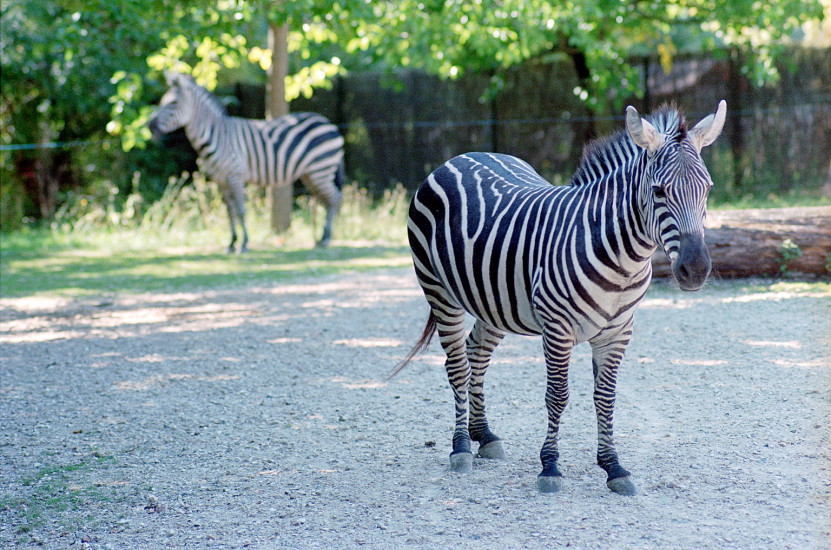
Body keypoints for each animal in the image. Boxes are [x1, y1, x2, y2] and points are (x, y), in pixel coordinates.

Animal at [149, 71, 344, 252]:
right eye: (162, 101)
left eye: (173, 103)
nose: (150, 126)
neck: (217, 136)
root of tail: (330, 124)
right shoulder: (221, 181)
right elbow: (230, 212)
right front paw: (232, 242)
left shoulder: (235, 175)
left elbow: (241, 211)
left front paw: (243, 243)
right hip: (310, 174)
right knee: (325, 201)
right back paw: (319, 237)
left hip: (321, 170)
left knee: (334, 198)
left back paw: (327, 237)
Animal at [394, 101, 724, 498]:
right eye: (658, 191)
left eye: (707, 189)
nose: (696, 269)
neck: (622, 259)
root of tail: (460, 157)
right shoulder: (557, 328)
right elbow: (557, 395)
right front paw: (550, 466)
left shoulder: (619, 331)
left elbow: (606, 397)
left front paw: (613, 467)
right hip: (439, 291)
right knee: (457, 365)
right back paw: (460, 447)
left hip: (493, 301)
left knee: (477, 355)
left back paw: (483, 435)